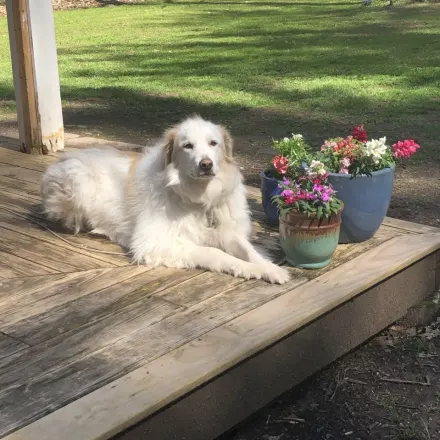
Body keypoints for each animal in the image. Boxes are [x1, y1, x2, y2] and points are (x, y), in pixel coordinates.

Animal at [40, 115, 288, 284]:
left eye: (213, 143)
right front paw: (250, 269)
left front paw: (269, 269)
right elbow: (215, 253)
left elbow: (249, 251)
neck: (199, 197)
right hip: (79, 182)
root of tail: (68, 156)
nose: (206, 164)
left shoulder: (229, 232)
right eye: (187, 146)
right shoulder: (157, 243)